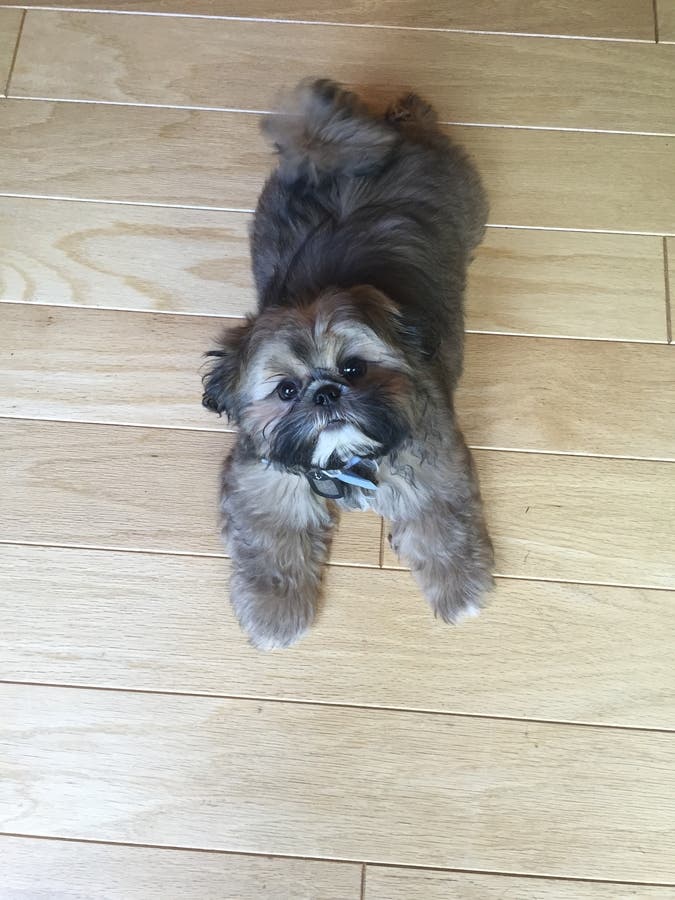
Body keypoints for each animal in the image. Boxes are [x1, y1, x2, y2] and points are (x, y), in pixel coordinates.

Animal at [202, 78, 494, 649]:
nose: (326, 393)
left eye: (354, 369)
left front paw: (460, 588)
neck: (344, 459)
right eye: (286, 391)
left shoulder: (431, 468)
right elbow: (272, 545)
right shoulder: (263, 485)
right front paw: (274, 614)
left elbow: (440, 527)